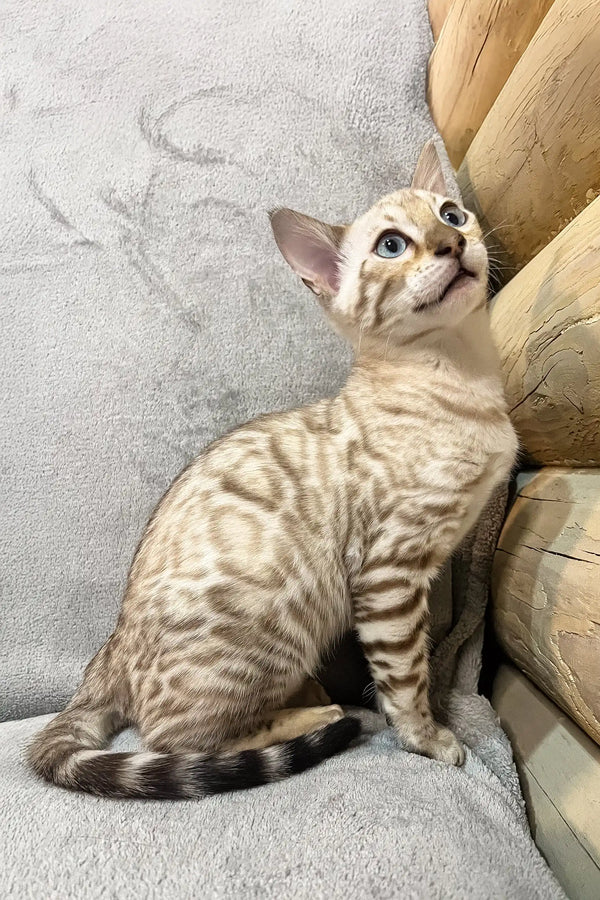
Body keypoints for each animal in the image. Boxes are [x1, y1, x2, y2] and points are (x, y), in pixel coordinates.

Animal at [27, 142, 516, 800]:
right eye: (391, 245)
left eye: (451, 213)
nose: (451, 241)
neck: (463, 377)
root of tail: (109, 649)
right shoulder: (389, 571)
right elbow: (407, 673)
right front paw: (429, 738)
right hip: (270, 632)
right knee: (173, 738)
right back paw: (321, 712)